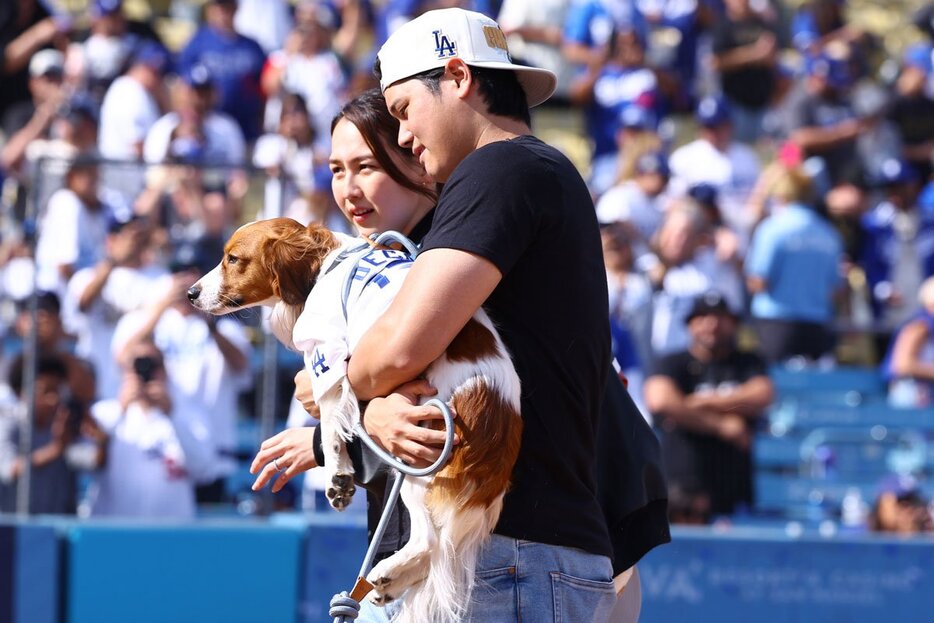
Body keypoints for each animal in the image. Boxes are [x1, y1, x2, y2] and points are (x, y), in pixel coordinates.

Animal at [186, 217, 524, 620]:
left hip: (417, 467)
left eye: (233, 259)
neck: (324, 265)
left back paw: (385, 572)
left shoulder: (328, 360)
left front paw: (338, 478)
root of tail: (499, 417)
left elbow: (333, 425)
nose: (189, 293)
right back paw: (387, 584)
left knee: (430, 542)